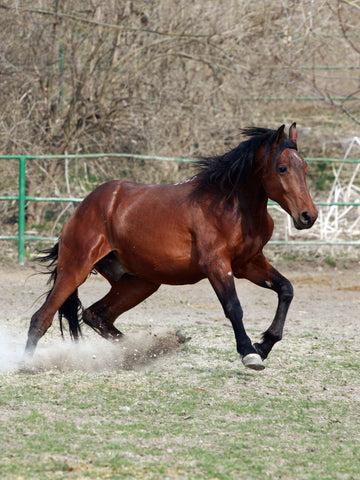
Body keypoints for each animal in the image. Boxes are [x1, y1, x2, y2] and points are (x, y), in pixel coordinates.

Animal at [26, 124, 318, 372]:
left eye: (304, 168)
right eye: (282, 168)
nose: (308, 216)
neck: (232, 206)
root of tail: (84, 207)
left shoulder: (249, 263)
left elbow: (286, 289)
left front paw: (264, 344)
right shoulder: (216, 265)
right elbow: (233, 307)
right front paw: (250, 352)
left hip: (138, 283)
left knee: (96, 315)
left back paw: (144, 351)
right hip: (76, 269)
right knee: (41, 318)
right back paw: (25, 363)